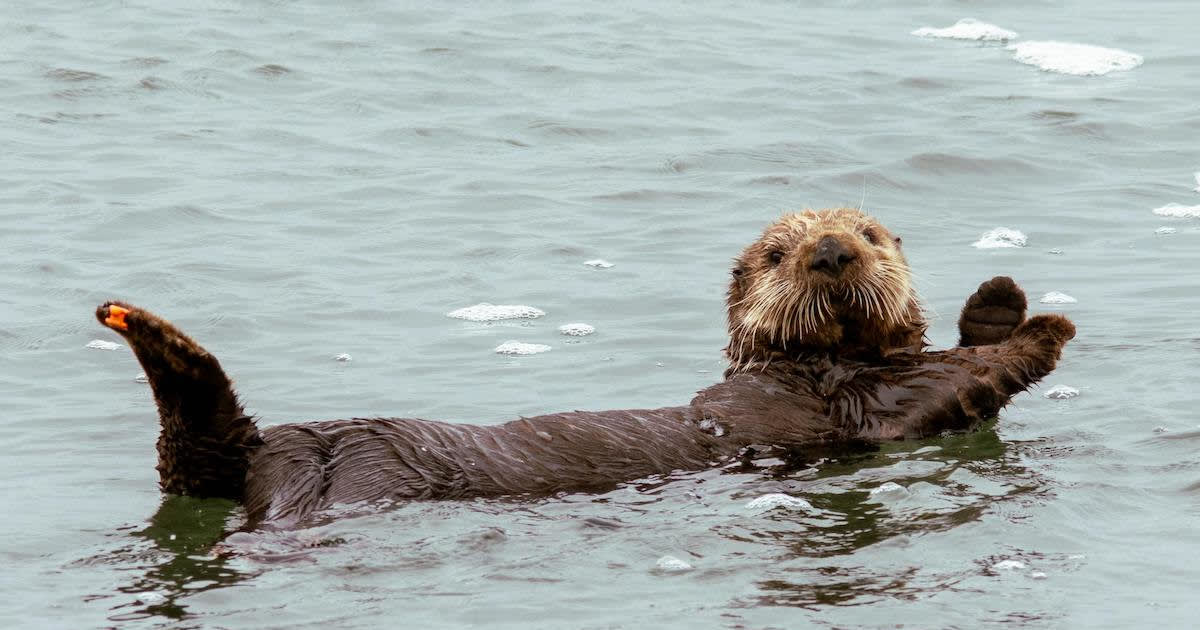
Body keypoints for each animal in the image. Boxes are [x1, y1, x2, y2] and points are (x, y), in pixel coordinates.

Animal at [95, 208, 1073, 528]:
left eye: (868, 234)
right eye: (775, 252)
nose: (831, 252)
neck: (820, 366)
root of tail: (266, 467)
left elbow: (957, 364)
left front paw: (1000, 298)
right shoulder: (867, 405)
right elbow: (950, 380)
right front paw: (1044, 325)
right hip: (339, 468)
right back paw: (142, 326)